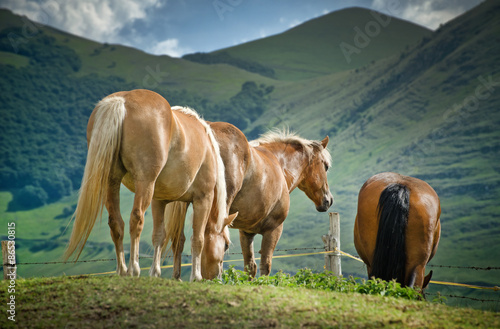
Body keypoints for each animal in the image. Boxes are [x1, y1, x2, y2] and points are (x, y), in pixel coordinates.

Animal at [63, 89, 232, 282]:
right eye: (226, 245)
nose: (217, 277)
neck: (208, 147)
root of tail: (122, 101)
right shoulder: (203, 198)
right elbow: (198, 238)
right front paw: (196, 276)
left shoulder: (160, 200)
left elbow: (159, 235)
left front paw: (155, 272)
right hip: (145, 183)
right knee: (136, 219)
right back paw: (133, 269)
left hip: (111, 181)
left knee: (116, 222)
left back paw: (122, 270)